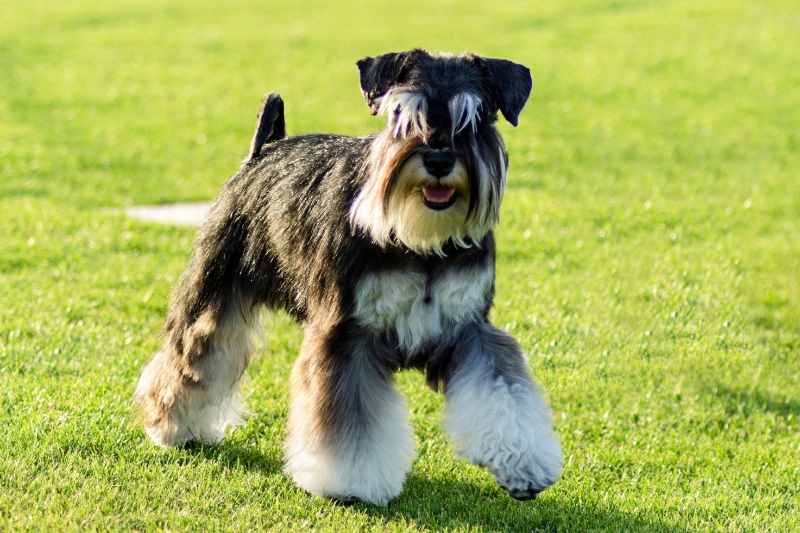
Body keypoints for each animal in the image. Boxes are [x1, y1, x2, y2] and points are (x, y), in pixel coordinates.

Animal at [134, 48, 564, 502]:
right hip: (214, 296)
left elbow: (504, 393)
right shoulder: (346, 334)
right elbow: (350, 420)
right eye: (402, 115)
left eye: (476, 116)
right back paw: (173, 427)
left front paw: (523, 463)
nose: (439, 159)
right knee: (190, 359)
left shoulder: (472, 329)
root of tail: (265, 150)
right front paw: (351, 481)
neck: (422, 241)